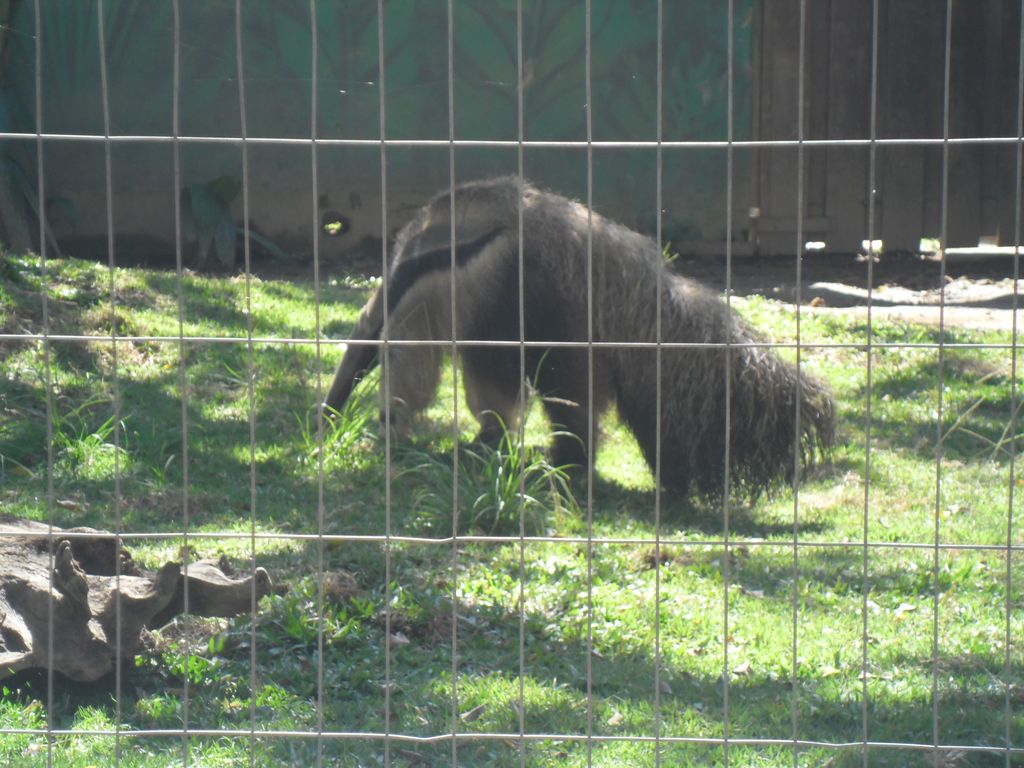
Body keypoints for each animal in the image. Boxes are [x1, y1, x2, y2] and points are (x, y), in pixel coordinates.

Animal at [324, 176, 835, 499]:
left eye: (355, 366)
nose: (327, 418)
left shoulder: (457, 283)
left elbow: (412, 362)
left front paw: (390, 425)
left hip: (551, 307)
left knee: (562, 387)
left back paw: (564, 460)